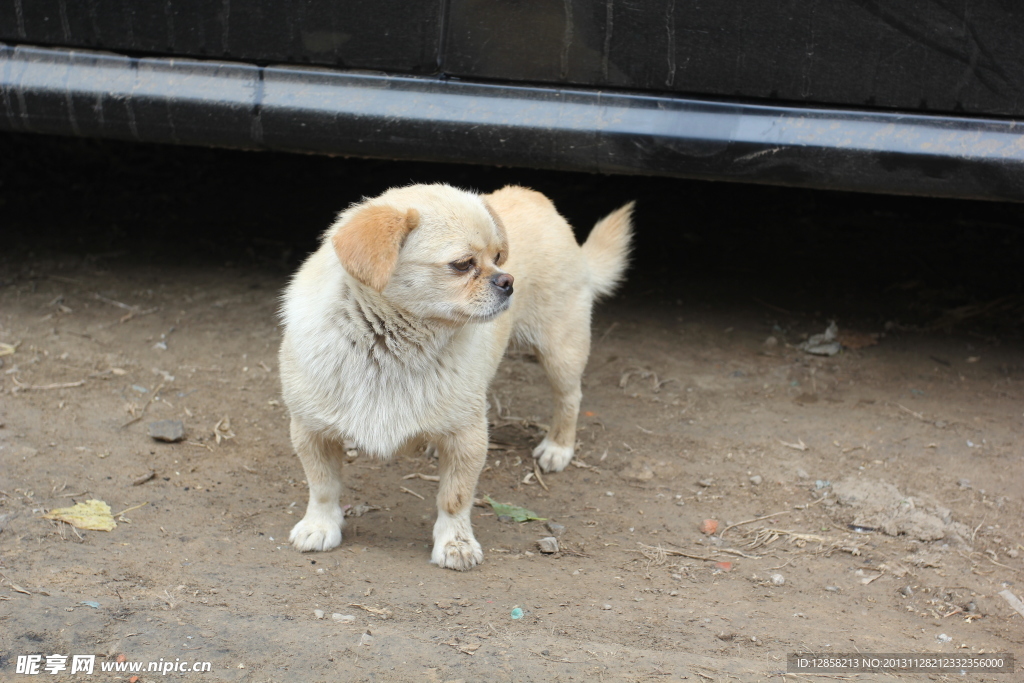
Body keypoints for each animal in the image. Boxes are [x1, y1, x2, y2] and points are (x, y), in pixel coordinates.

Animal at [280, 183, 630, 573]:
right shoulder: (311, 432)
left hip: (560, 352)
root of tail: (533, 195)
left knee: (569, 399)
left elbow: (454, 497)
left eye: (499, 257)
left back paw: (558, 447)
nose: (508, 280)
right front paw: (320, 526)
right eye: (462, 265)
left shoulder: (468, 439)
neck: (393, 352)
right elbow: (323, 487)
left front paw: (455, 544)